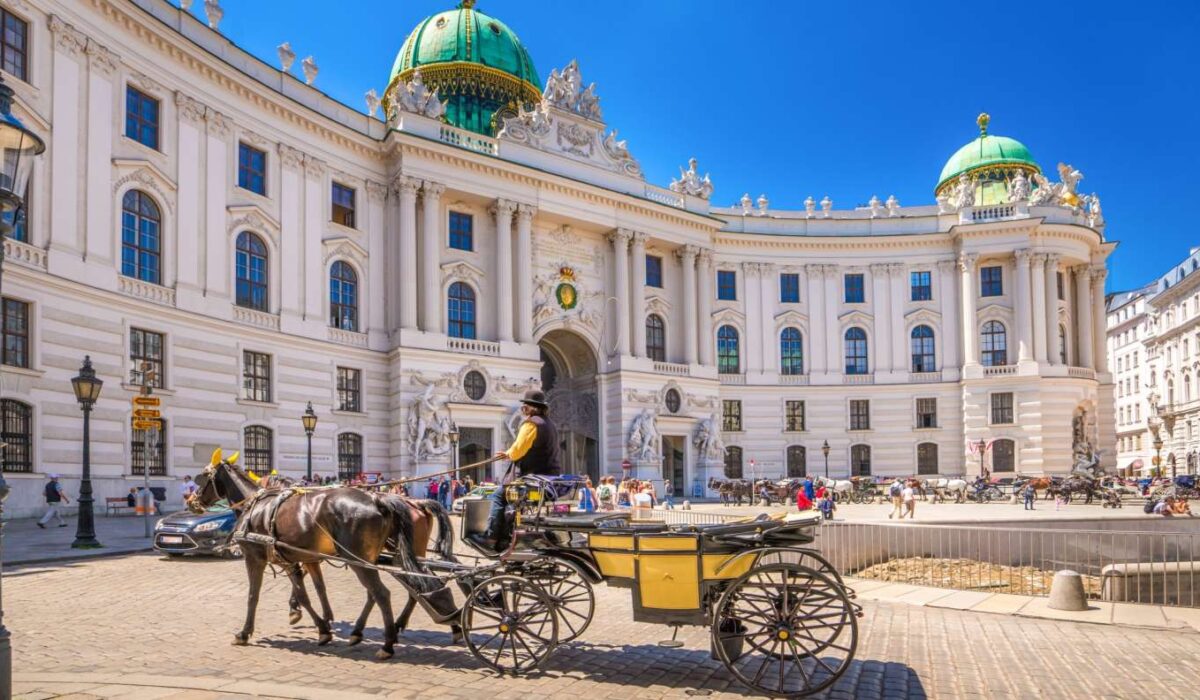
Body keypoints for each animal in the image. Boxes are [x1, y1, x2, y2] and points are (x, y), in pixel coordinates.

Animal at [192, 451, 453, 657]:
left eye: (203, 477)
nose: (192, 501)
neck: (258, 506)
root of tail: (380, 500)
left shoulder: (255, 558)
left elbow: (254, 596)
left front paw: (245, 632)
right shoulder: (300, 559)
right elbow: (313, 591)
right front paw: (323, 624)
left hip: (364, 559)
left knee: (384, 593)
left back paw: (387, 643)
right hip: (385, 558)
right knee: (409, 587)